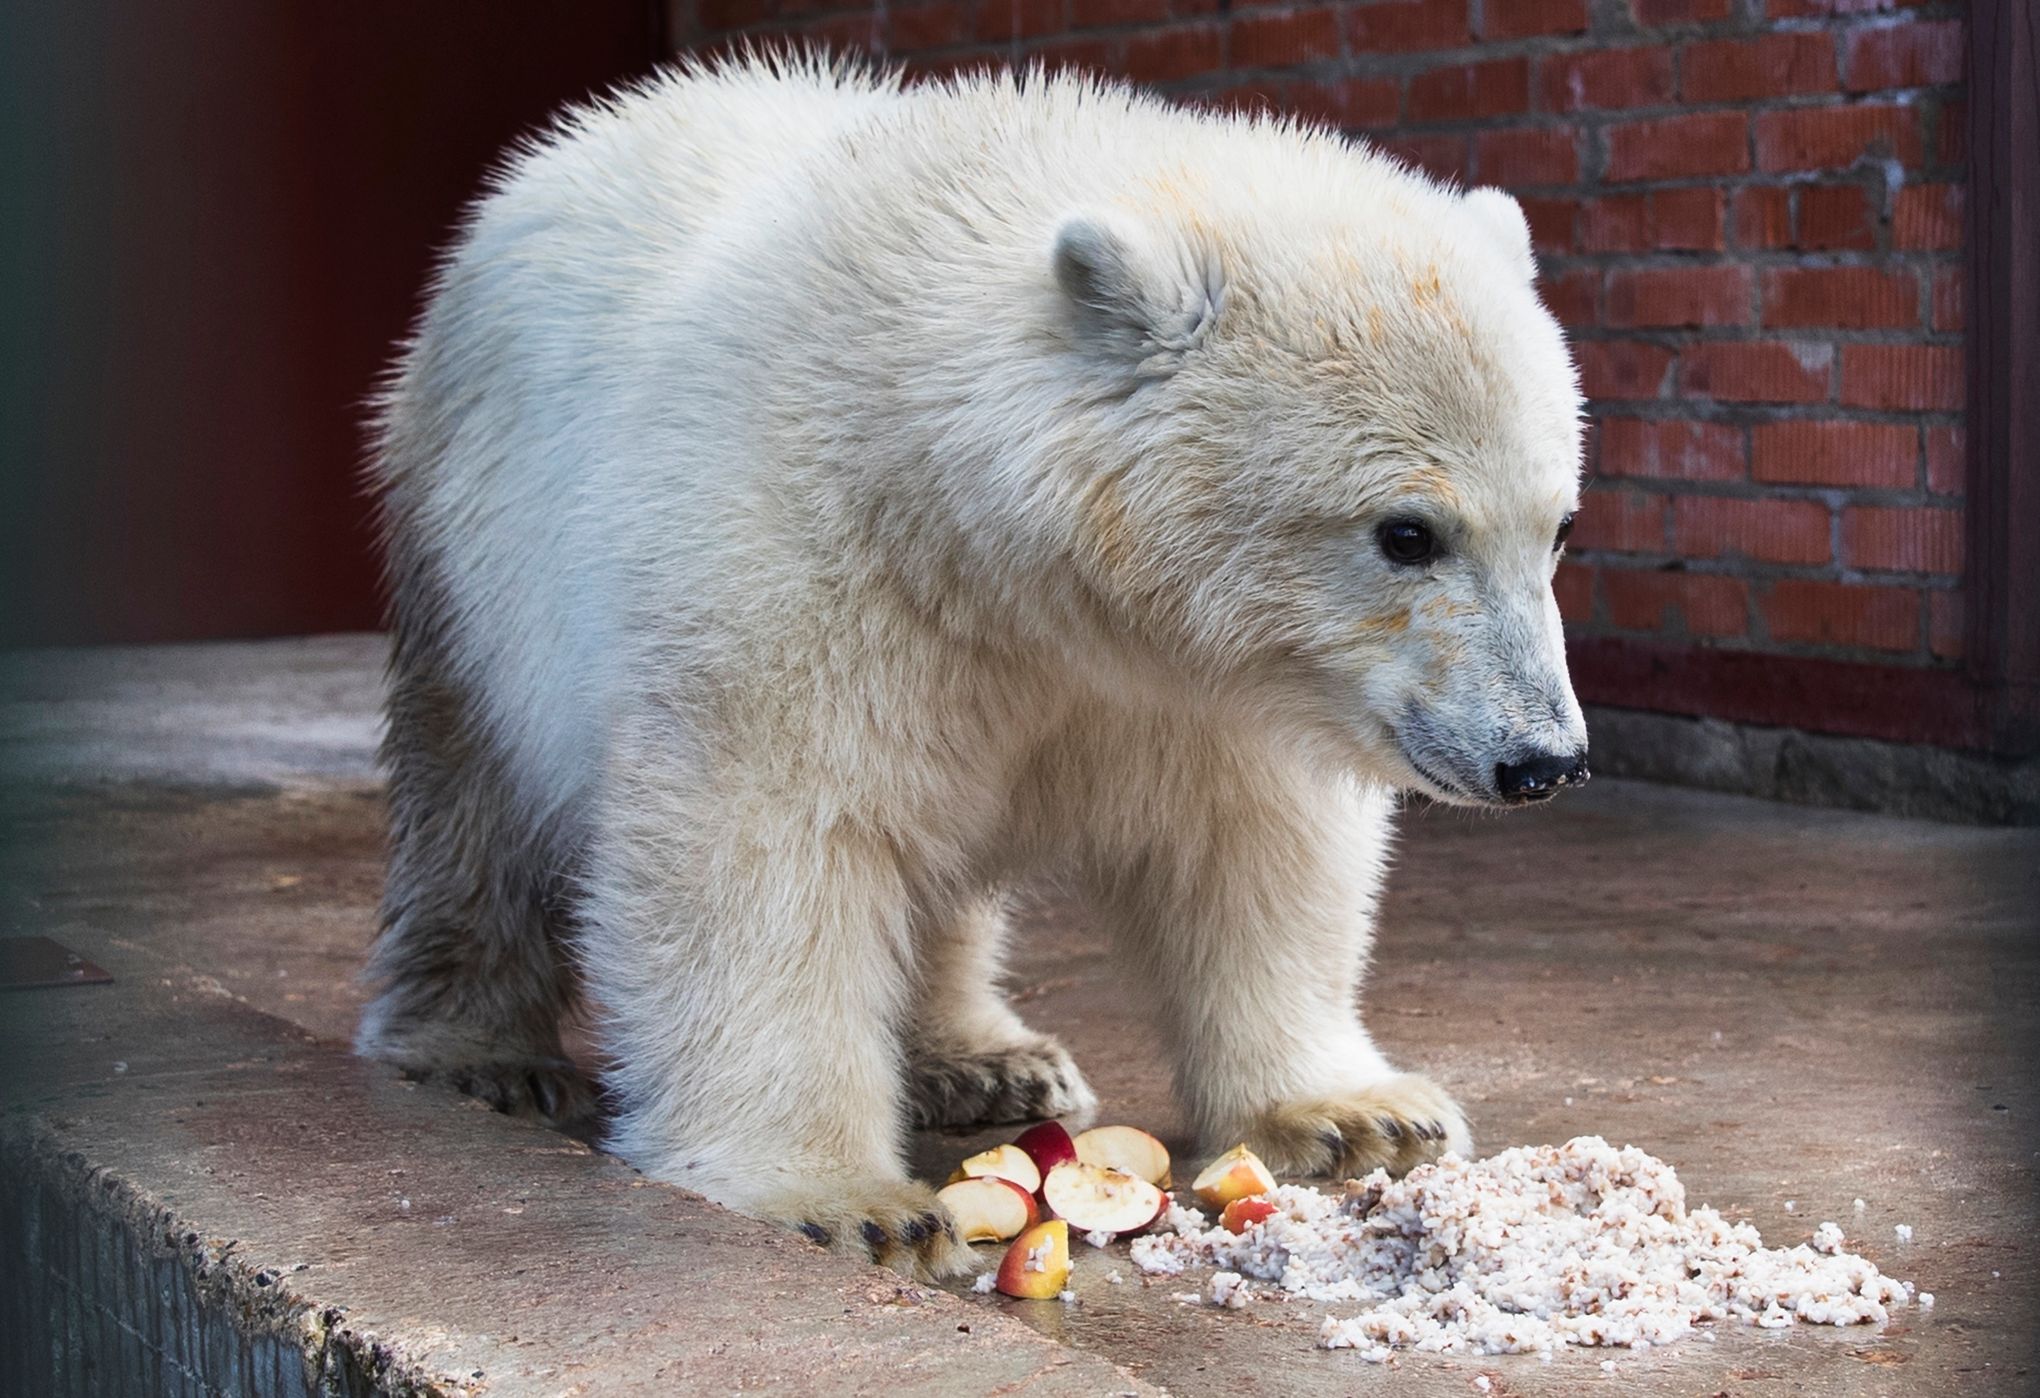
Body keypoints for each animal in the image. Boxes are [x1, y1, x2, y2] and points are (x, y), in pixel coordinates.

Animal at [356, 52, 1589, 1281]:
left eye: (1559, 526)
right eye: (1407, 532)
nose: (1545, 759)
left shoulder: (1211, 685)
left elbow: (1258, 851)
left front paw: (1355, 1113)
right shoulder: (802, 560)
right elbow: (763, 843)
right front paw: (844, 1200)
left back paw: (984, 1059)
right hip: (471, 535)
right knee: (475, 796)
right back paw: (481, 1054)